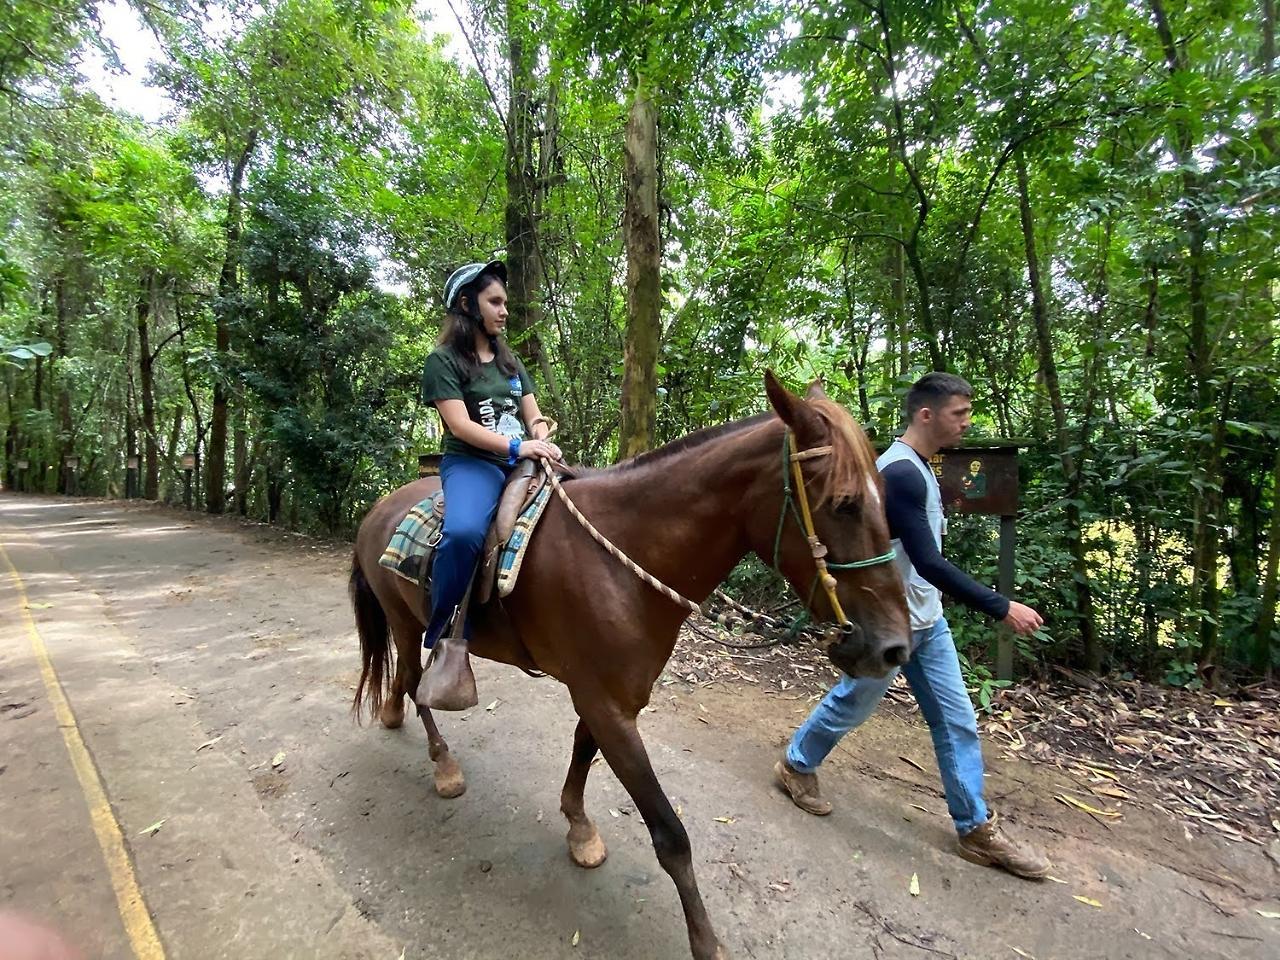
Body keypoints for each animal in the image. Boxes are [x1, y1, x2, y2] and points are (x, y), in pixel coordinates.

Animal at [350, 371, 911, 957]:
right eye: (845, 504)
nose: (895, 649)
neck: (621, 556)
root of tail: (377, 509)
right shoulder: (607, 705)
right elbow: (671, 835)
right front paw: (705, 940)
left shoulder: (610, 697)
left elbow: (582, 750)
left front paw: (579, 829)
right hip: (406, 620)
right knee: (415, 681)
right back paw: (444, 765)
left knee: (403, 680)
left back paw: (393, 715)